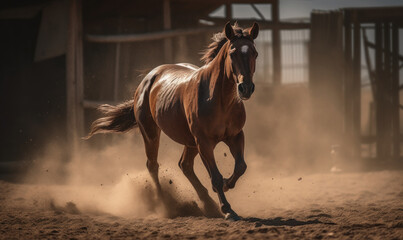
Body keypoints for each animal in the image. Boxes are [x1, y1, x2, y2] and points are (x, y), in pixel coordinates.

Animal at [87, 21, 260, 220]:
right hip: (151, 134)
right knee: (153, 165)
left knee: (185, 165)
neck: (219, 99)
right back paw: (165, 205)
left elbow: (241, 166)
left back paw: (208, 204)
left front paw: (226, 185)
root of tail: (149, 78)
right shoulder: (204, 142)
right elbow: (215, 176)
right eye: (232, 53)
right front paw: (228, 209)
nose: (245, 88)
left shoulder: (235, 136)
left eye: (255, 53)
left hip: (190, 142)